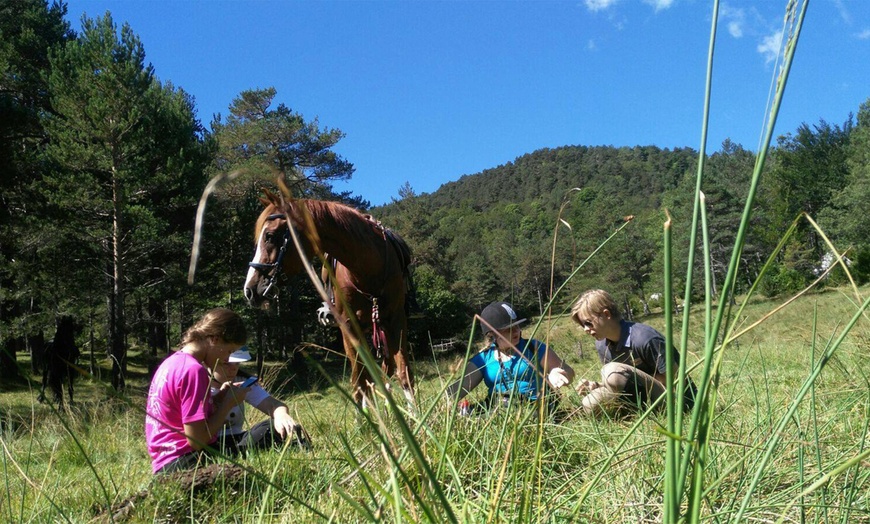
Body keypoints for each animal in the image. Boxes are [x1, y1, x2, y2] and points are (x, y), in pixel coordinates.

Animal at [244, 191, 418, 406]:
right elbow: (360, 382)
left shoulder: (396, 320)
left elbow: (404, 375)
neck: (368, 268)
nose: (249, 290)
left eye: (269, 236)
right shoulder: (349, 326)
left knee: (388, 369)